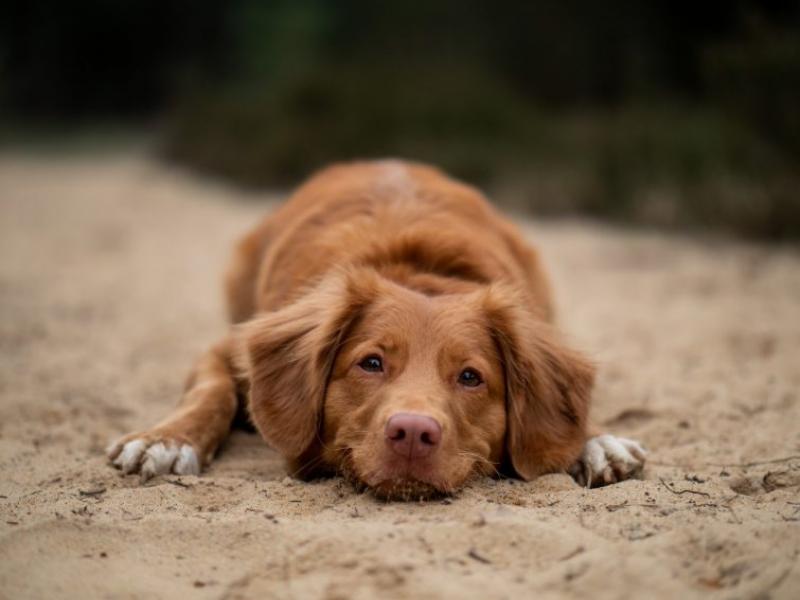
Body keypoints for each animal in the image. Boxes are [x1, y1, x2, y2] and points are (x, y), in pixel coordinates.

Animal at [106, 159, 644, 496]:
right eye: (371, 363)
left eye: (471, 377)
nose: (412, 433)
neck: (415, 270)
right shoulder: (228, 347)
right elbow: (211, 391)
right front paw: (167, 439)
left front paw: (595, 439)